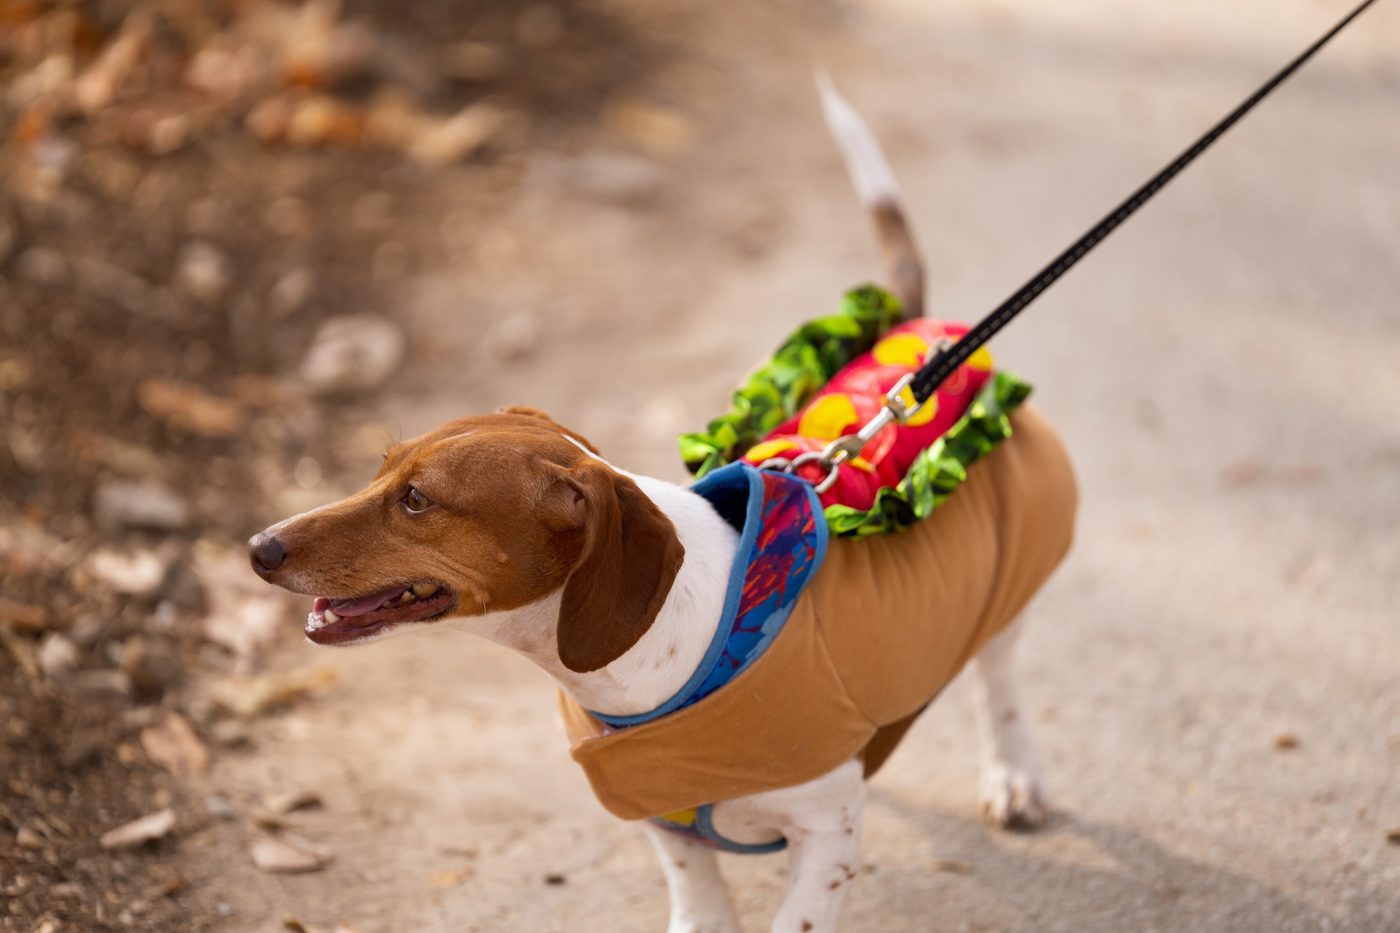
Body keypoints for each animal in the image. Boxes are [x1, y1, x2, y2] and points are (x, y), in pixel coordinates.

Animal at [248, 80, 1076, 933]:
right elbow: (699, 897)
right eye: (380, 470)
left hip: (1006, 587)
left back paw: (1014, 774)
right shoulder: (666, 824)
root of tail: (924, 336)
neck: (658, 657)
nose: (258, 547)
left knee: (1000, 682)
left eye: (417, 499)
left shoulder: (828, 837)